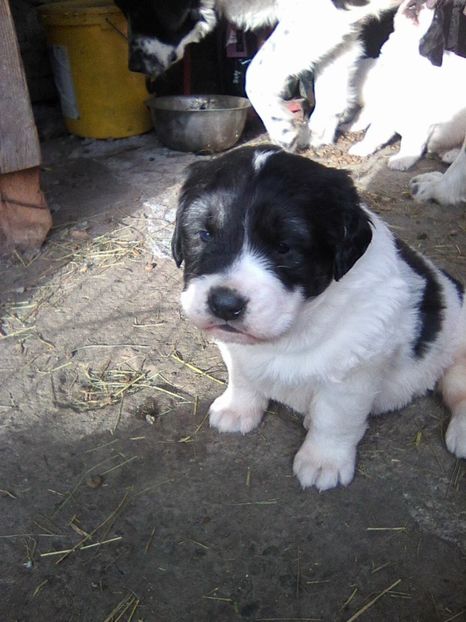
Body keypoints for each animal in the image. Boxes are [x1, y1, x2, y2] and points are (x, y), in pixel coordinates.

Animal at [114, 0, 402, 151]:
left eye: (138, 10)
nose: (133, 66)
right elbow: (330, 86)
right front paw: (317, 135)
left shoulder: (319, 10)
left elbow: (255, 72)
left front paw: (282, 128)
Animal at [172, 145, 466, 492]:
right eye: (204, 235)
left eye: (284, 247)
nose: (225, 305)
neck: (300, 323)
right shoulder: (236, 348)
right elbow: (242, 377)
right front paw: (237, 409)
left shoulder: (352, 371)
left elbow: (334, 419)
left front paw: (323, 461)